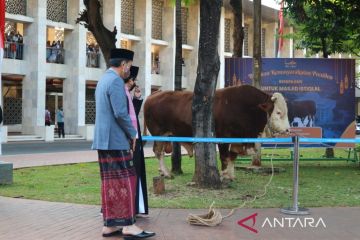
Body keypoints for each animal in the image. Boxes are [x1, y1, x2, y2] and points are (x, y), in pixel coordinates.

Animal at [143, 85, 290, 179]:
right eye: (278, 112)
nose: (288, 129)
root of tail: (154, 94)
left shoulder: (237, 139)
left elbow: (232, 156)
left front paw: (231, 175)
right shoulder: (223, 138)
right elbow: (225, 156)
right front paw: (224, 175)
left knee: (160, 152)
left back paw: (163, 172)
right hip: (158, 133)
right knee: (158, 152)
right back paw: (166, 173)